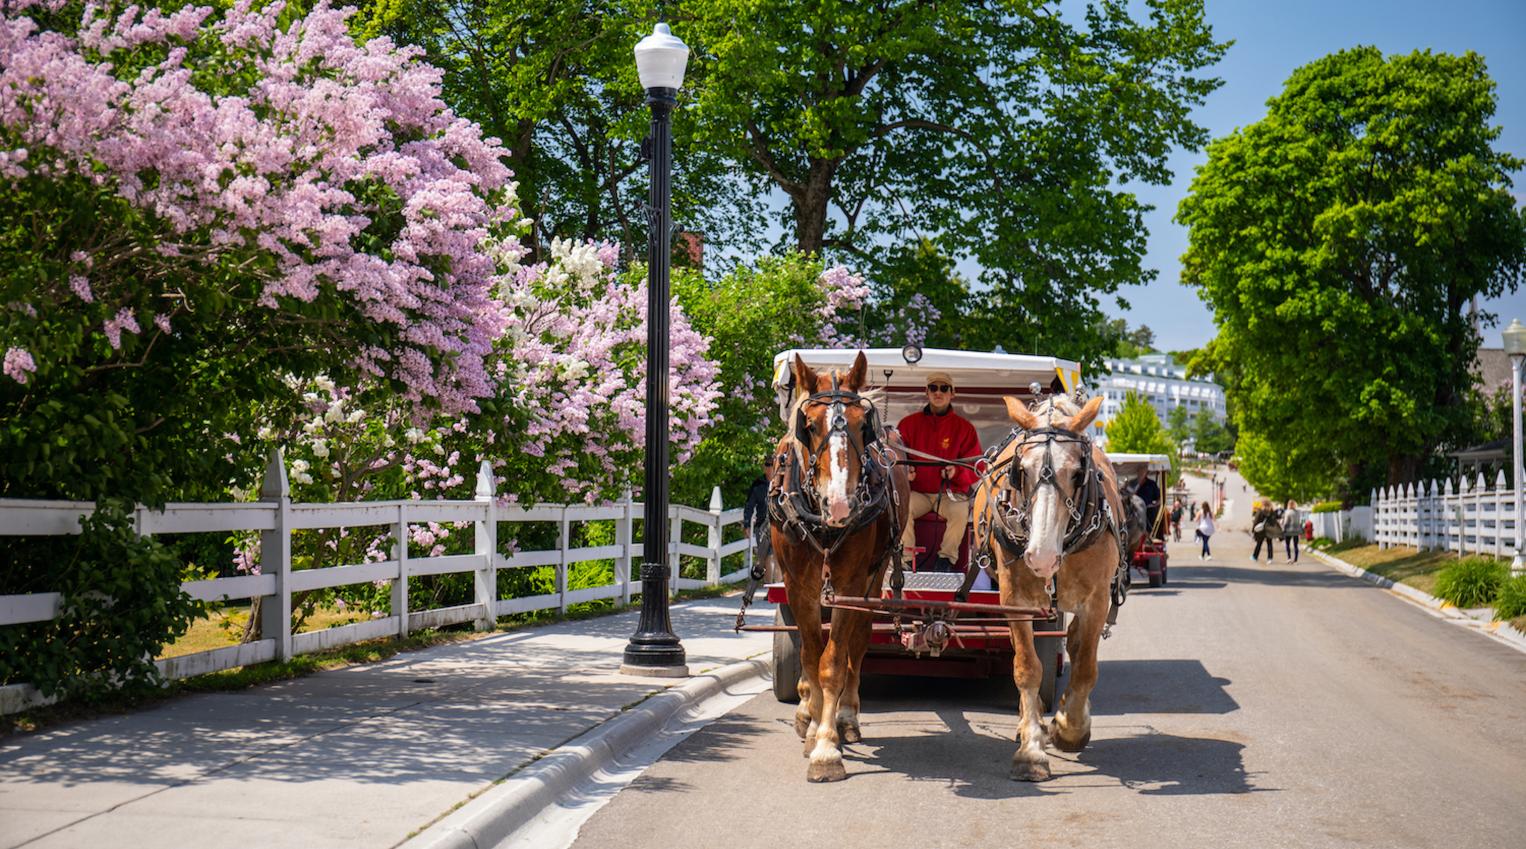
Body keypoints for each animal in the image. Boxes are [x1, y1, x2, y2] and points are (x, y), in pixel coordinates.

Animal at [768, 352, 910, 782]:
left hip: (873, 576)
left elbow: (832, 661)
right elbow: (811, 654)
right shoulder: (797, 585)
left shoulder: (849, 583)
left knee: (856, 642)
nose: (841, 504)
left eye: (864, 425)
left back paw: (846, 717)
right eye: (809, 426)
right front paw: (814, 725)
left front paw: (827, 747)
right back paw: (805, 713)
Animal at [972, 392, 1127, 781]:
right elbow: (1026, 667)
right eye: (1021, 471)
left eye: (1077, 473)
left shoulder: (1096, 601)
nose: (1041, 556)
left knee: (1075, 644)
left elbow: (1085, 667)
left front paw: (1069, 728)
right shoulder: (1014, 599)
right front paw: (1031, 750)